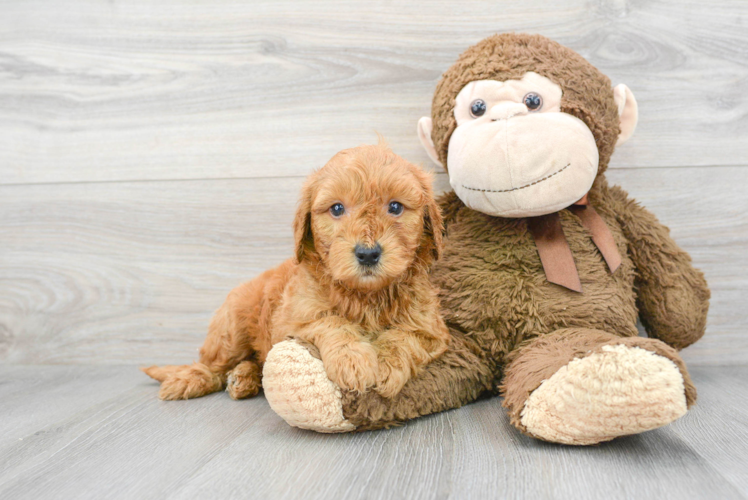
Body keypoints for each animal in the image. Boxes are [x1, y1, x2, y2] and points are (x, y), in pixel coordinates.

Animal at [142, 143, 448, 400]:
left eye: (395, 206)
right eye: (337, 208)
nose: (368, 253)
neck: (365, 295)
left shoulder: (431, 330)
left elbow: (404, 337)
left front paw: (385, 364)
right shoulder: (293, 319)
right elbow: (331, 321)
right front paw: (352, 360)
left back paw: (243, 378)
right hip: (232, 328)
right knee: (214, 363)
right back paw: (190, 380)